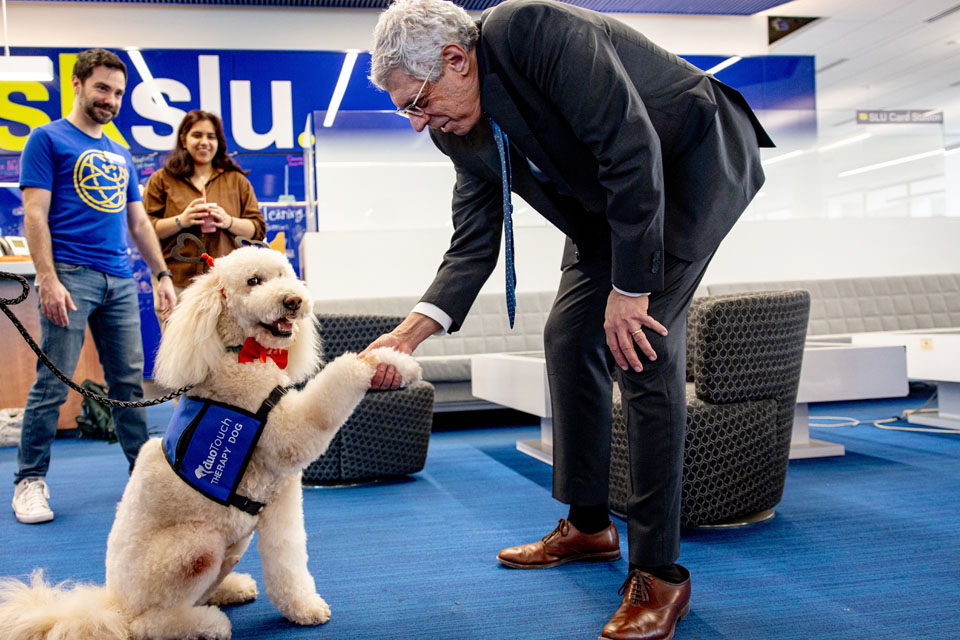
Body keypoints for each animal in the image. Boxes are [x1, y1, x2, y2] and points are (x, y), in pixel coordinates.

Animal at [0, 246, 420, 640]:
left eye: (284, 276)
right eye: (254, 281)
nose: (293, 301)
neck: (243, 354)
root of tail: (111, 605)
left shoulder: (281, 496)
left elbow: (288, 558)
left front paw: (302, 607)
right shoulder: (289, 434)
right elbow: (342, 374)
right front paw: (387, 362)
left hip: (233, 544)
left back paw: (229, 588)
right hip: (197, 547)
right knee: (146, 624)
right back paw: (205, 622)